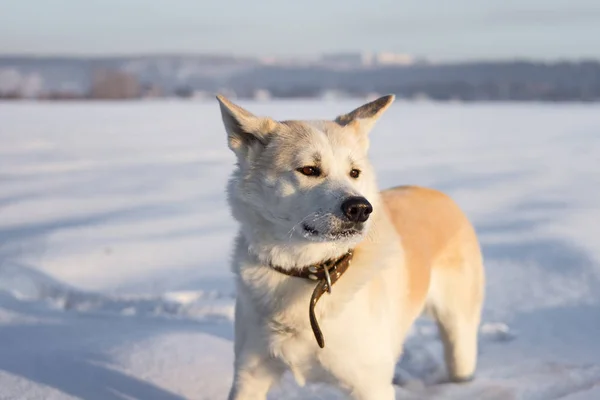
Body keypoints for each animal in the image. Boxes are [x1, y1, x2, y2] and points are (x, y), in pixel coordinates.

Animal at [218, 94, 486, 400]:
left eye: (354, 172)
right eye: (309, 170)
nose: (360, 208)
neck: (309, 271)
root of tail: (438, 194)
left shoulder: (370, 386)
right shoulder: (249, 375)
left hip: (459, 332)